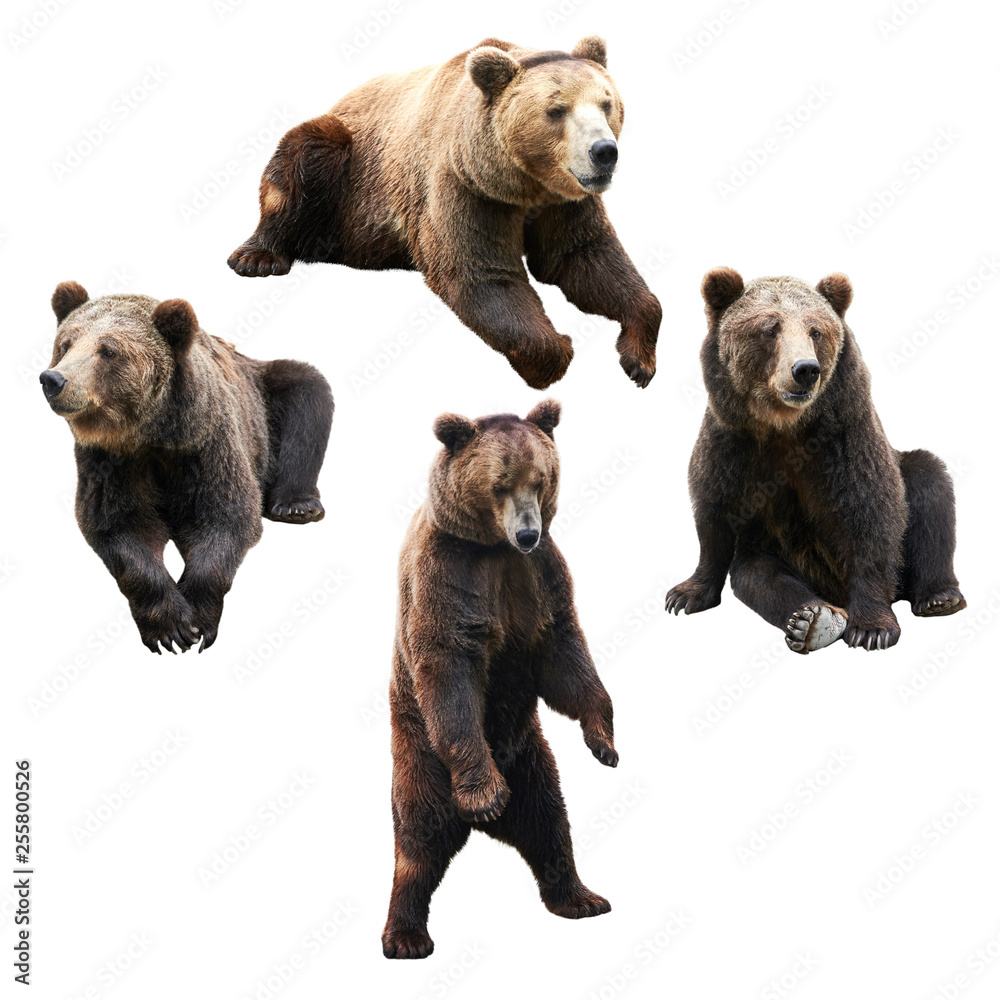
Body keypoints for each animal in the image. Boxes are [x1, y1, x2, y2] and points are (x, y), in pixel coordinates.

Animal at [40, 281, 334, 653]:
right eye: (65, 344)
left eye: (108, 350)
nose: (54, 379)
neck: (153, 434)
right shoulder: (110, 462)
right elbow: (120, 528)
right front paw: (170, 627)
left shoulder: (206, 444)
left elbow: (225, 518)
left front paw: (197, 621)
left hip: (266, 400)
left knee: (307, 389)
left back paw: (297, 506)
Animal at [227, 36, 661, 391]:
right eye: (556, 110)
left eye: (607, 103)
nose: (604, 152)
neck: (525, 183)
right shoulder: (467, 185)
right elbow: (480, 271)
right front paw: (557, 349)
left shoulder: (563, 203)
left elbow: (584, 258)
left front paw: (638, 359)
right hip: (351, 173)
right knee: (305, 155)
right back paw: (258, 257)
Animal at [383, 399, 617, 959]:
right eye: (499, 484)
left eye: (541, 479)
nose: (527, 532)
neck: (494, 549)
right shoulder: (449, 576)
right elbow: (450, 673)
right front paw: (484, 794)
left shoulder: (540, 579)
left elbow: (565, 658)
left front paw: (604, 742)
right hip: (421, 758)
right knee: (418, 844)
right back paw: (406, 935)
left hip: (531, 759)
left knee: (549, 824)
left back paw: (581, 897)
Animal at [665, 268, 965, 653]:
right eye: (770, 328)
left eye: (816, 330)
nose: (805, 369)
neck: (784, 427)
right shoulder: (731, 443)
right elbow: (714, 513)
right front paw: (686, 593)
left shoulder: (844, 438)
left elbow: (870, 514)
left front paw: (872, 628)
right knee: (758, 575)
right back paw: (813, 619)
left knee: (929, 484)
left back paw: (939, 597)